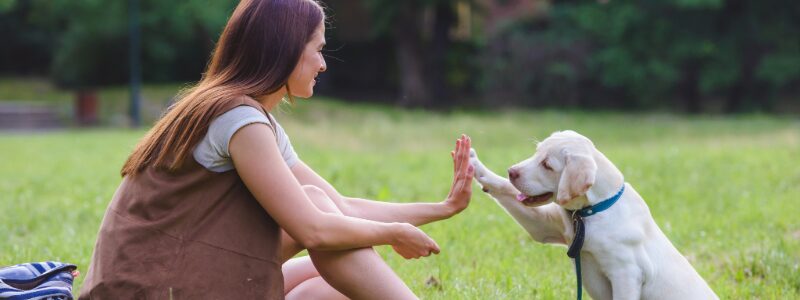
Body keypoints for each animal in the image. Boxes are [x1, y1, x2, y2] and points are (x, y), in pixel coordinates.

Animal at [468, 131, 720, 300]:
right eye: (536, 152)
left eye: (547, 165)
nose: (512, 171)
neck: (593, 211)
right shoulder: (544, 227)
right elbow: (504, 188)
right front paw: (473, 162)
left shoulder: (626, 274)